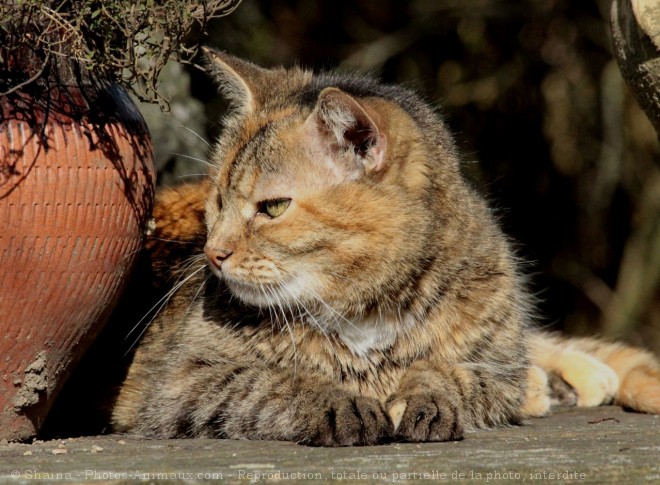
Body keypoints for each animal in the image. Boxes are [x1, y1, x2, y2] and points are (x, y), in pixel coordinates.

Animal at [111, 50, 660, 446]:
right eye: (219, 200)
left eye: (272, 208)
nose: (213, 254)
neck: (366, 310)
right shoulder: (180, 382)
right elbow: (273, 381)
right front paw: (340, 402)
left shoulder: (494, 367)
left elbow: (447, 372)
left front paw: (425, 396)